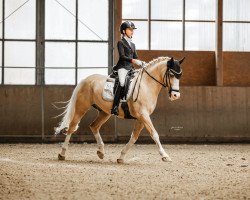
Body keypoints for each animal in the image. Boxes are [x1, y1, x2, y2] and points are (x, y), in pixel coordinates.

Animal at [54, 55, 184, 162]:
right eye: (171, 74)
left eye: (180, 76)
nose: (176, 96)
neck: (146, 85)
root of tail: (85, 80)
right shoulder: (143, 115)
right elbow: (154, 134)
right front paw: (165, 155)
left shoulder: (141, 118)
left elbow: (134, 137)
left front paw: (121, 157)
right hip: (81, 108)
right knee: (72, 127)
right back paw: (62, 154)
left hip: (104, 112)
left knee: (94, 126)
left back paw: (101, 152)